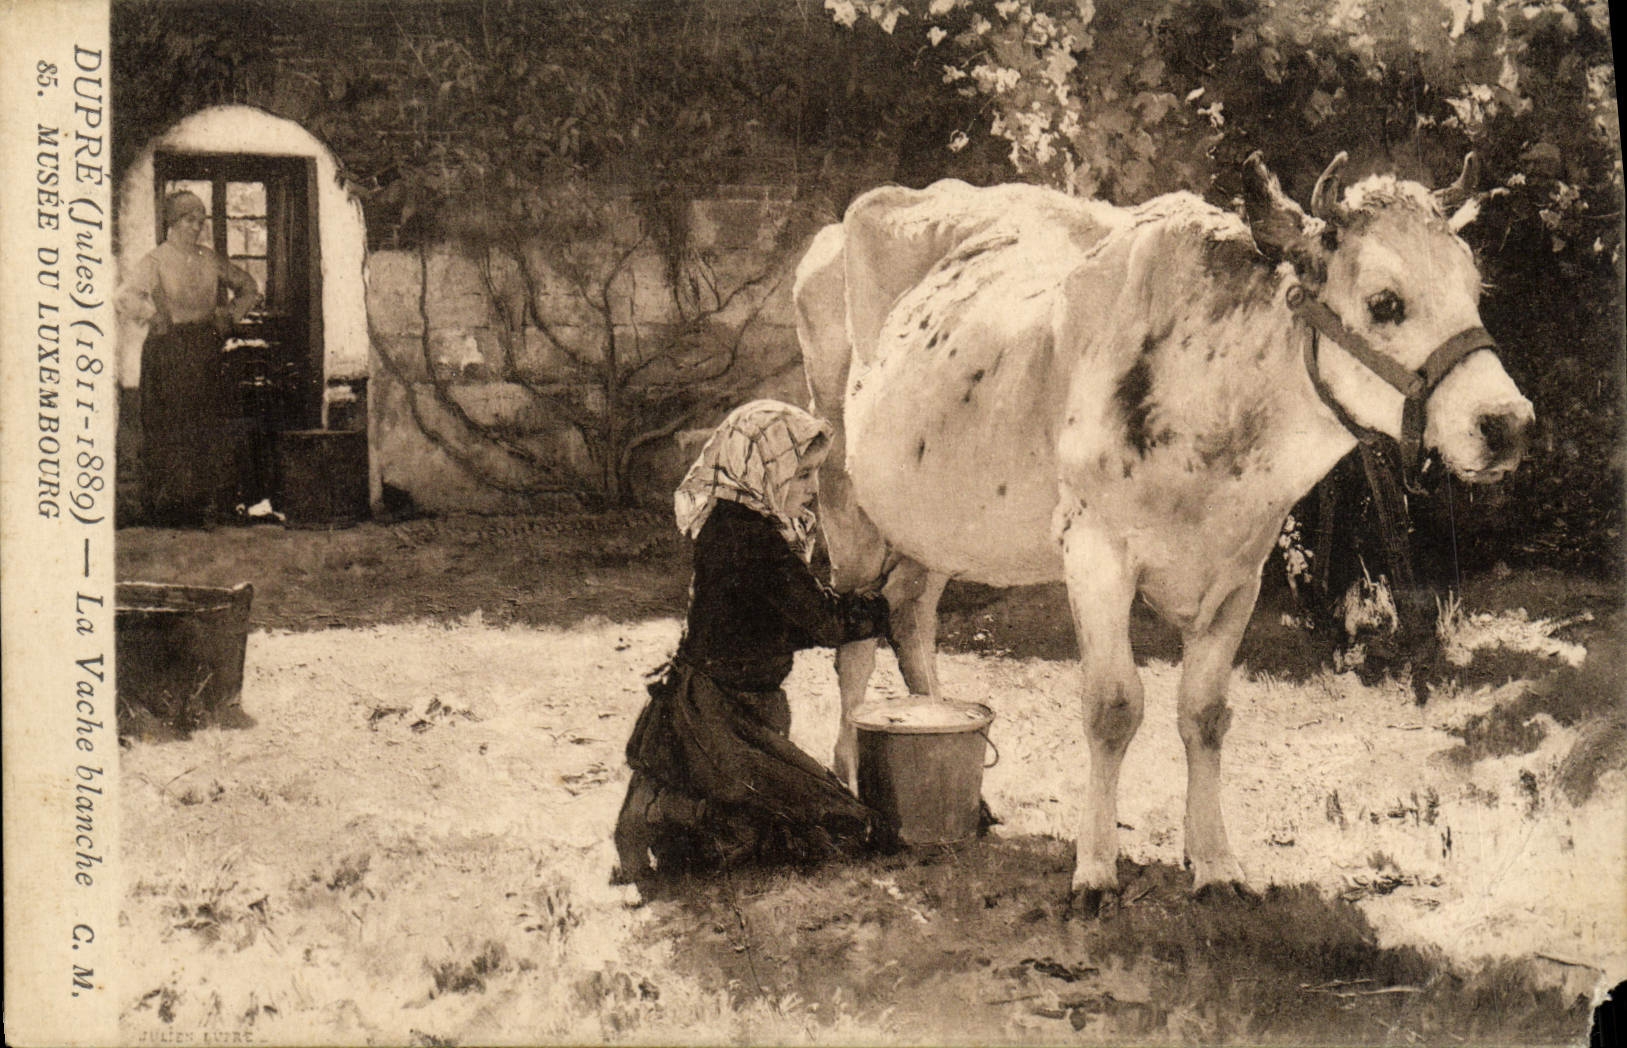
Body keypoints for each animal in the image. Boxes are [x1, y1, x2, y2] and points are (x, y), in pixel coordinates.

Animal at [794, 154, 1533, 914]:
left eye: (1474, 289)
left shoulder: (1241, 571)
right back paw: (852, 774)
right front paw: (1094, 869)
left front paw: (1213, 861)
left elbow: (1204, 711)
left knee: (910, 617)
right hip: (844, 497)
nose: (1507, 422)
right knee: (856, 641)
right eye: (1385, 302)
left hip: (935, 520)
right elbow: (1112, 706)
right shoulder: (1094, 552)